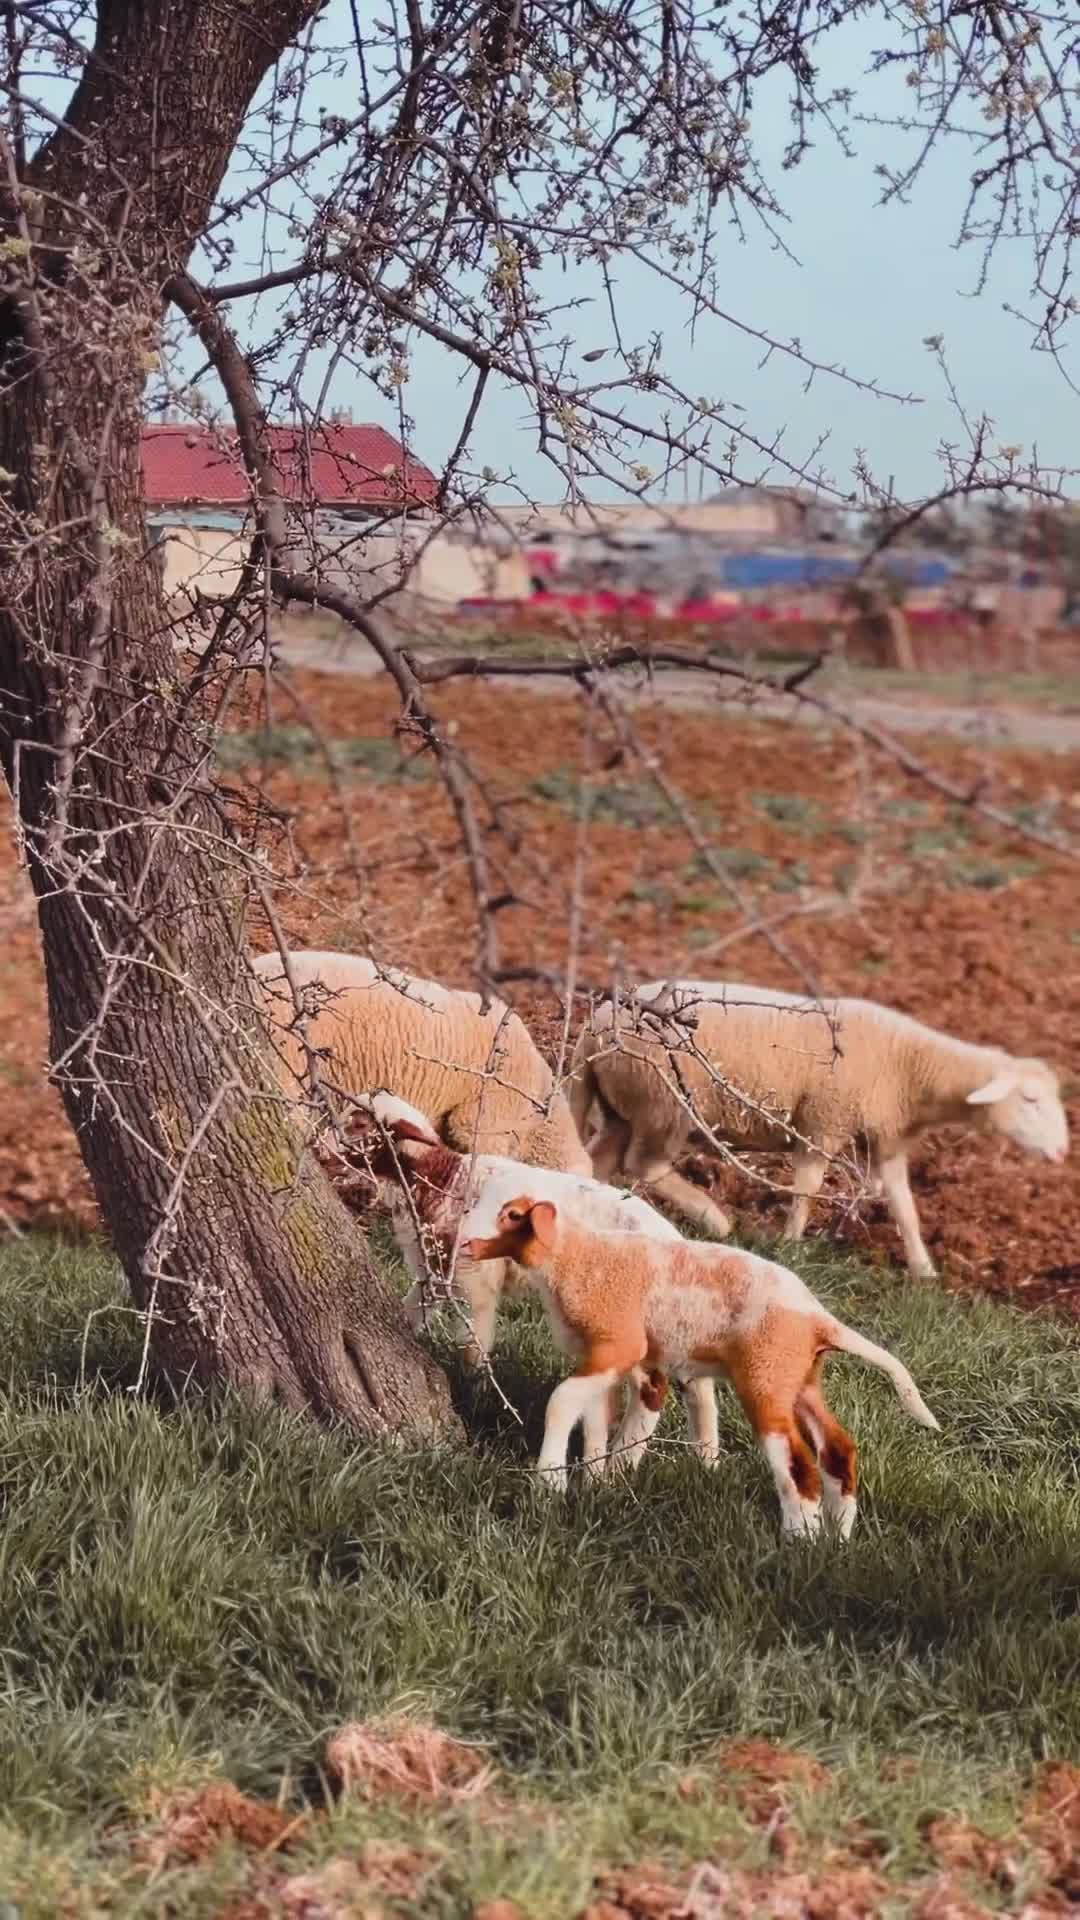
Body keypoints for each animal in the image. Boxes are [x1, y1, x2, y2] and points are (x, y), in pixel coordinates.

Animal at [316, 1091, 720, 1471]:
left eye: (359, 1125)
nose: (318, 1150)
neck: (445, 1180)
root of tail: (677, 1242)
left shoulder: (476, 1280)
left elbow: (474, 1346)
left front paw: (475, 1395)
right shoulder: (433, 1270)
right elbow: (408, 1313)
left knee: (653, 1389)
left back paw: (622, 1464)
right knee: (698, 1385)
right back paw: (707, 1458)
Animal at [462, 1194, 940, 1535]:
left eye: (512, 1215)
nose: (465, 1244)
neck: (574, 1255)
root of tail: (819, 1319)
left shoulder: (620, 1343)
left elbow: (562, 1400)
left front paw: (550, 1481)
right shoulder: (601, 1354)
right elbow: (595, 1416)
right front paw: (594, 1481)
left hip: (764, 1379)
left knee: (797, 1464)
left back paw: (799, 1539)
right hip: (798, 1380)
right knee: (838, 1452)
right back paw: (837, 1538)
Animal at [568, 979, 1068, 1278]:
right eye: (1030, 1101)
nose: (1064, 1154)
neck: (912, 1069)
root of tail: (595, 1026)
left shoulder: (885, 1140)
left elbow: (904, 1205)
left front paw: (923, 1270)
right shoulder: (824, 1121)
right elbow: (807, 1186)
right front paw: (790, 1244)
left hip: (621, 1104)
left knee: (599, 1159)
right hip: (665, 1102)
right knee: (645, 1164)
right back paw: (715, 1218)